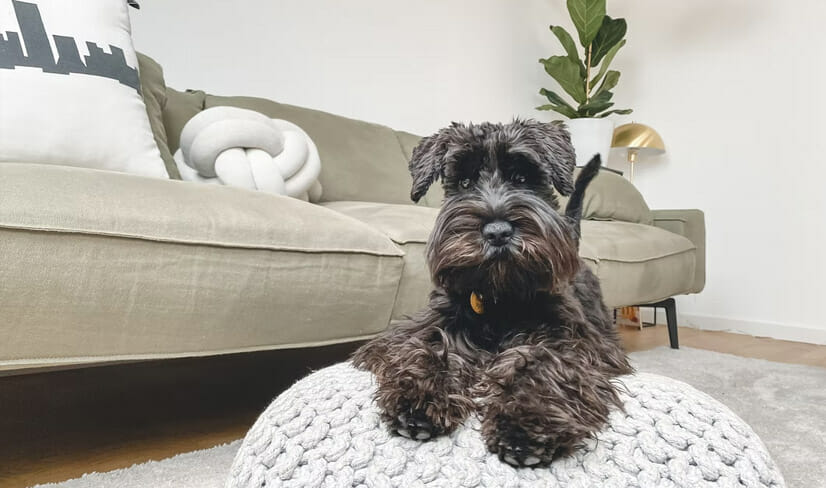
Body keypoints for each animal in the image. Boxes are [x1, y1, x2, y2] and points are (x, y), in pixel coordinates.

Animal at [350, 120, 632, 468]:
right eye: (464, 181)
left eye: (522, 178)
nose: (497, 232)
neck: (500, 295)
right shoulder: (421, 329)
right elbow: (430, 347)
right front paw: (417, 397)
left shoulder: (576, 343)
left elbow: (544, 363)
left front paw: (526, 422)